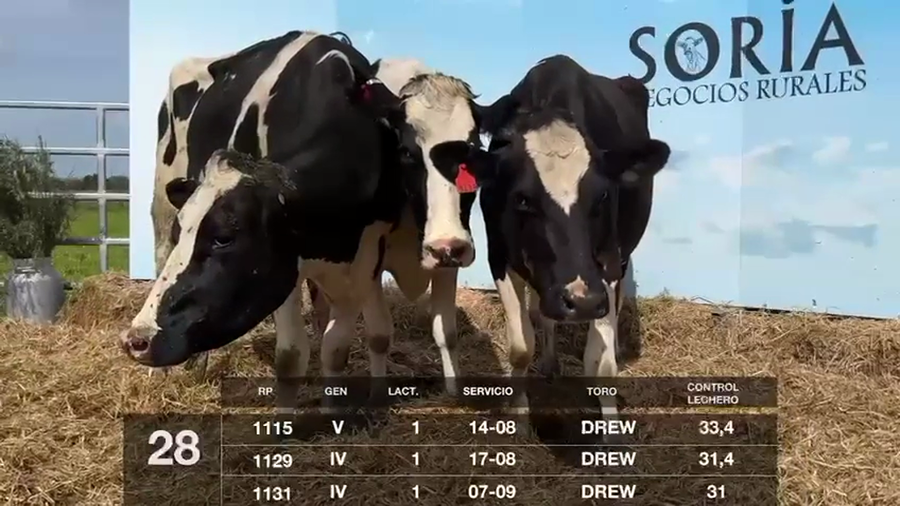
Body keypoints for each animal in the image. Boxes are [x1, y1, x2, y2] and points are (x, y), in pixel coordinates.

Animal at [119, 31, 509, 408]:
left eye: (474, 151)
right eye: (406, 152)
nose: (137, 340)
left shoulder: (364, 258)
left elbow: (347, 345)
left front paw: (335, 406)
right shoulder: (288, 266)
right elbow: (293, 355)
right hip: (163, 201)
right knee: (161, 256)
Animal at [472, 55, 670, 429]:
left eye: (603, 195)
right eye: (522, 199)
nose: (581, 301)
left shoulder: (607, 262)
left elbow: (602, 364)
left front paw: (611, 432)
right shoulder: (499, 256)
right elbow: (520, 346)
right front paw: (519, 416)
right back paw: (550, 363)